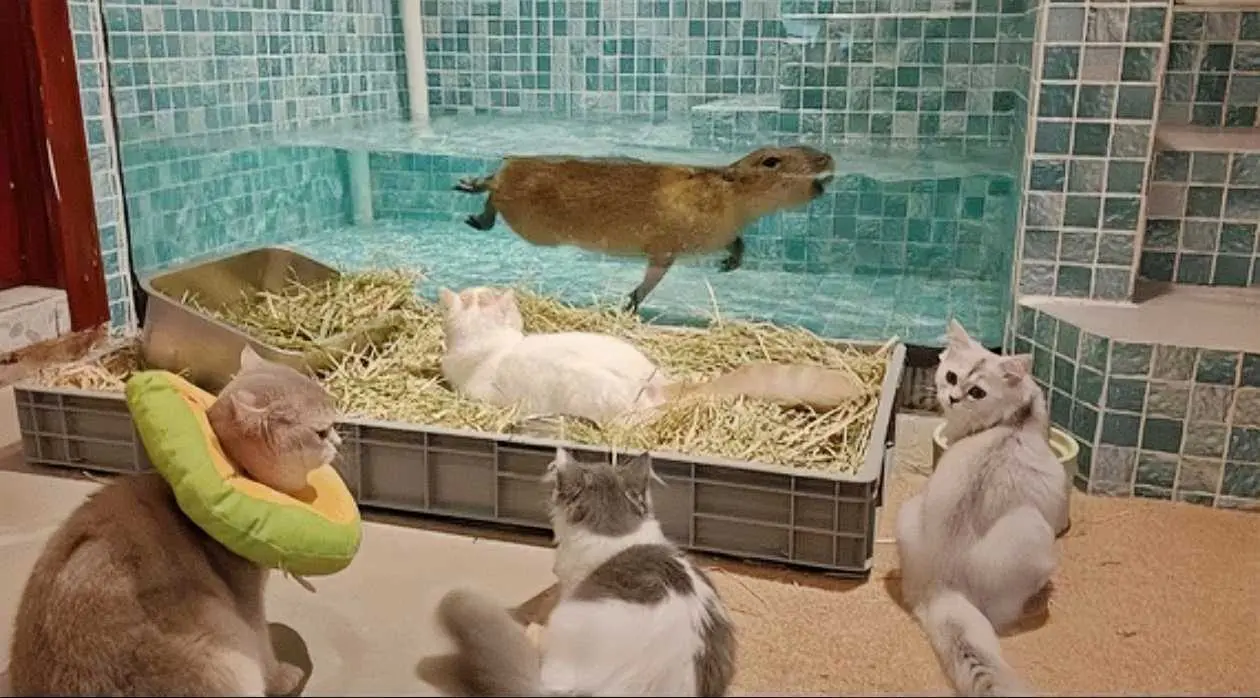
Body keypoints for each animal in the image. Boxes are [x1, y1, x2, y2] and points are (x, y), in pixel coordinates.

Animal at [7, 345, 342, 697]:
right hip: (223, 641)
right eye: (321, 431)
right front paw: (281, 676)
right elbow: (262, 641)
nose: (339, 441)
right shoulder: (247, 602)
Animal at [894, 319, 1068, 697]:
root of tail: (938, 586)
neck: (1016, 416)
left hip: (907, 509)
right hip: (1036, 533)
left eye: (977, 392)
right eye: (952, 377)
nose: (952, 398)